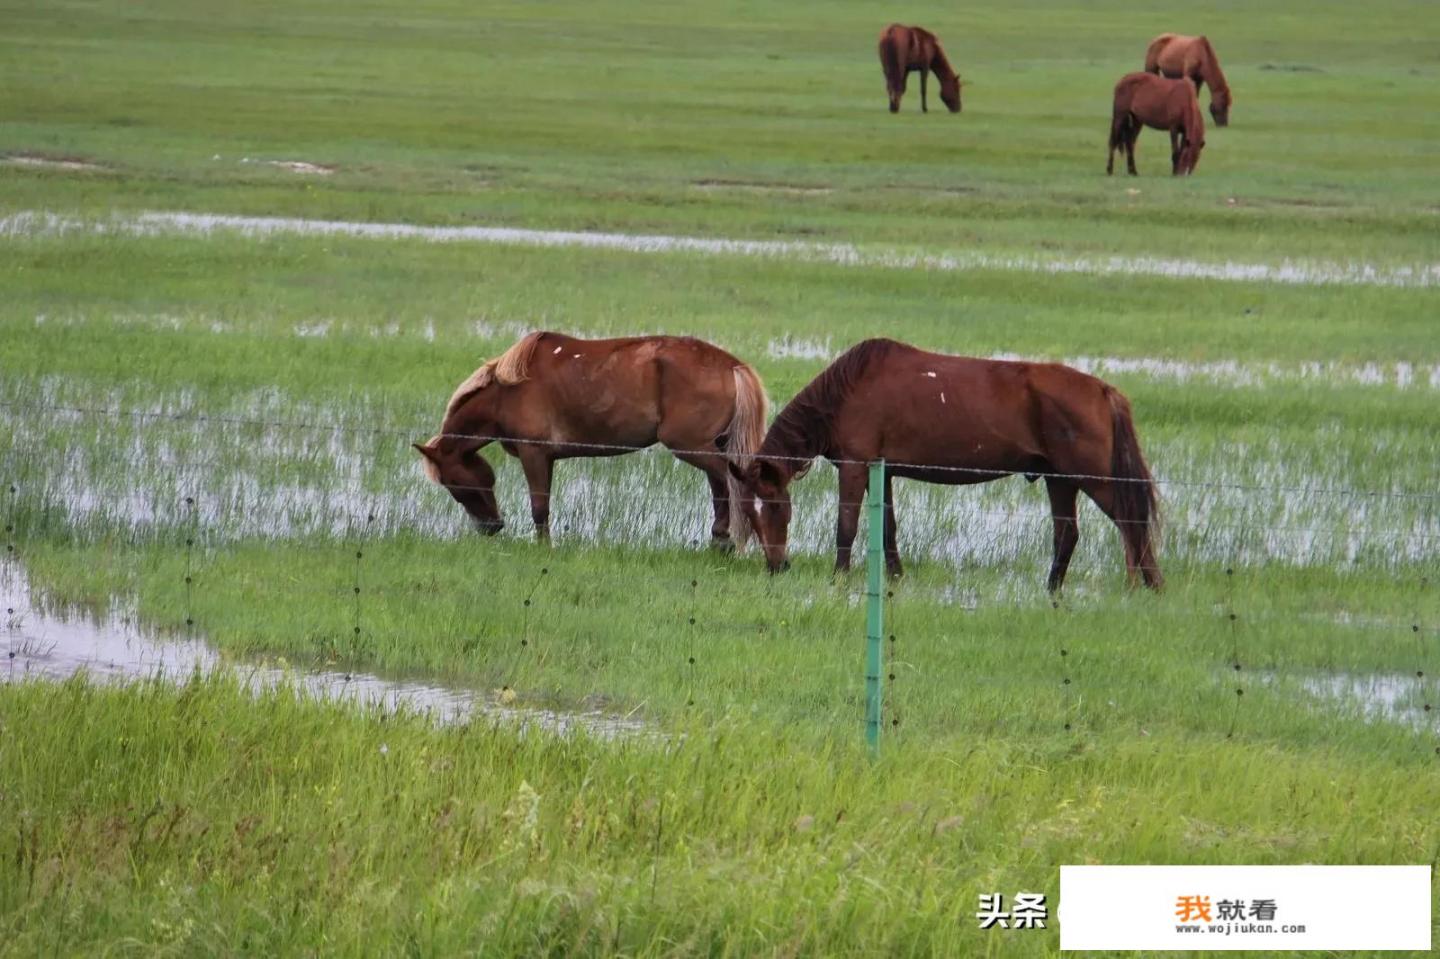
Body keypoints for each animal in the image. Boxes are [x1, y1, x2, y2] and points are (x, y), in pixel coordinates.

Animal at [411, 331, 771, 544]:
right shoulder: (547, 458)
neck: (505, 392)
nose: (491, 528)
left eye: (454, 484)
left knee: (730, 483)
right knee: (721, 488)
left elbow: (539, 507)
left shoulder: (533, 454)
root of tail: (732, 365)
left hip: (693, 447)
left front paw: (544, 548)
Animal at [725, 335, 1163, 590]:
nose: (776, 566)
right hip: (1061, 480)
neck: (846, 390)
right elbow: (887, 527)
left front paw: (839, 577)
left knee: (1131, 523)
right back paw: (1052, 589)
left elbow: (846, 526)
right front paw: (896, 577)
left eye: (777, 506)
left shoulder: (855, 466)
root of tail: (1104, 391)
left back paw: (1153, 586)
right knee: (1068, 534)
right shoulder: (882, 471)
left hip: (1092, 478)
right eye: (750, 514)